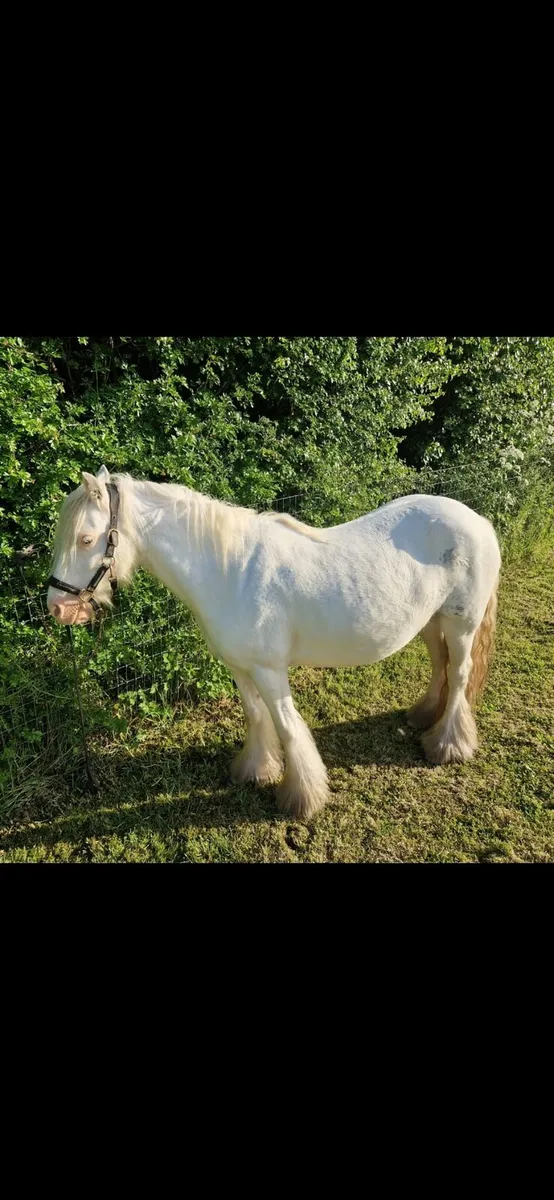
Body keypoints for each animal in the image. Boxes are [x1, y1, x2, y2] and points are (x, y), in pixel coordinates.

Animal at [47, 466, 501, 820]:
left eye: (85, 539)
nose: (58, 608)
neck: (228, 571)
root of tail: (477, 521)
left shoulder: (269, 670)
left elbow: (287, 726)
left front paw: (302, 798)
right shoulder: (239, 666)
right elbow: (256, 716)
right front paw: (255, 770)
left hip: (461, 624)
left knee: (460, 674)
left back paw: (448, 745)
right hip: (431, 621)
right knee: (441, 666)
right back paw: (425, 717)